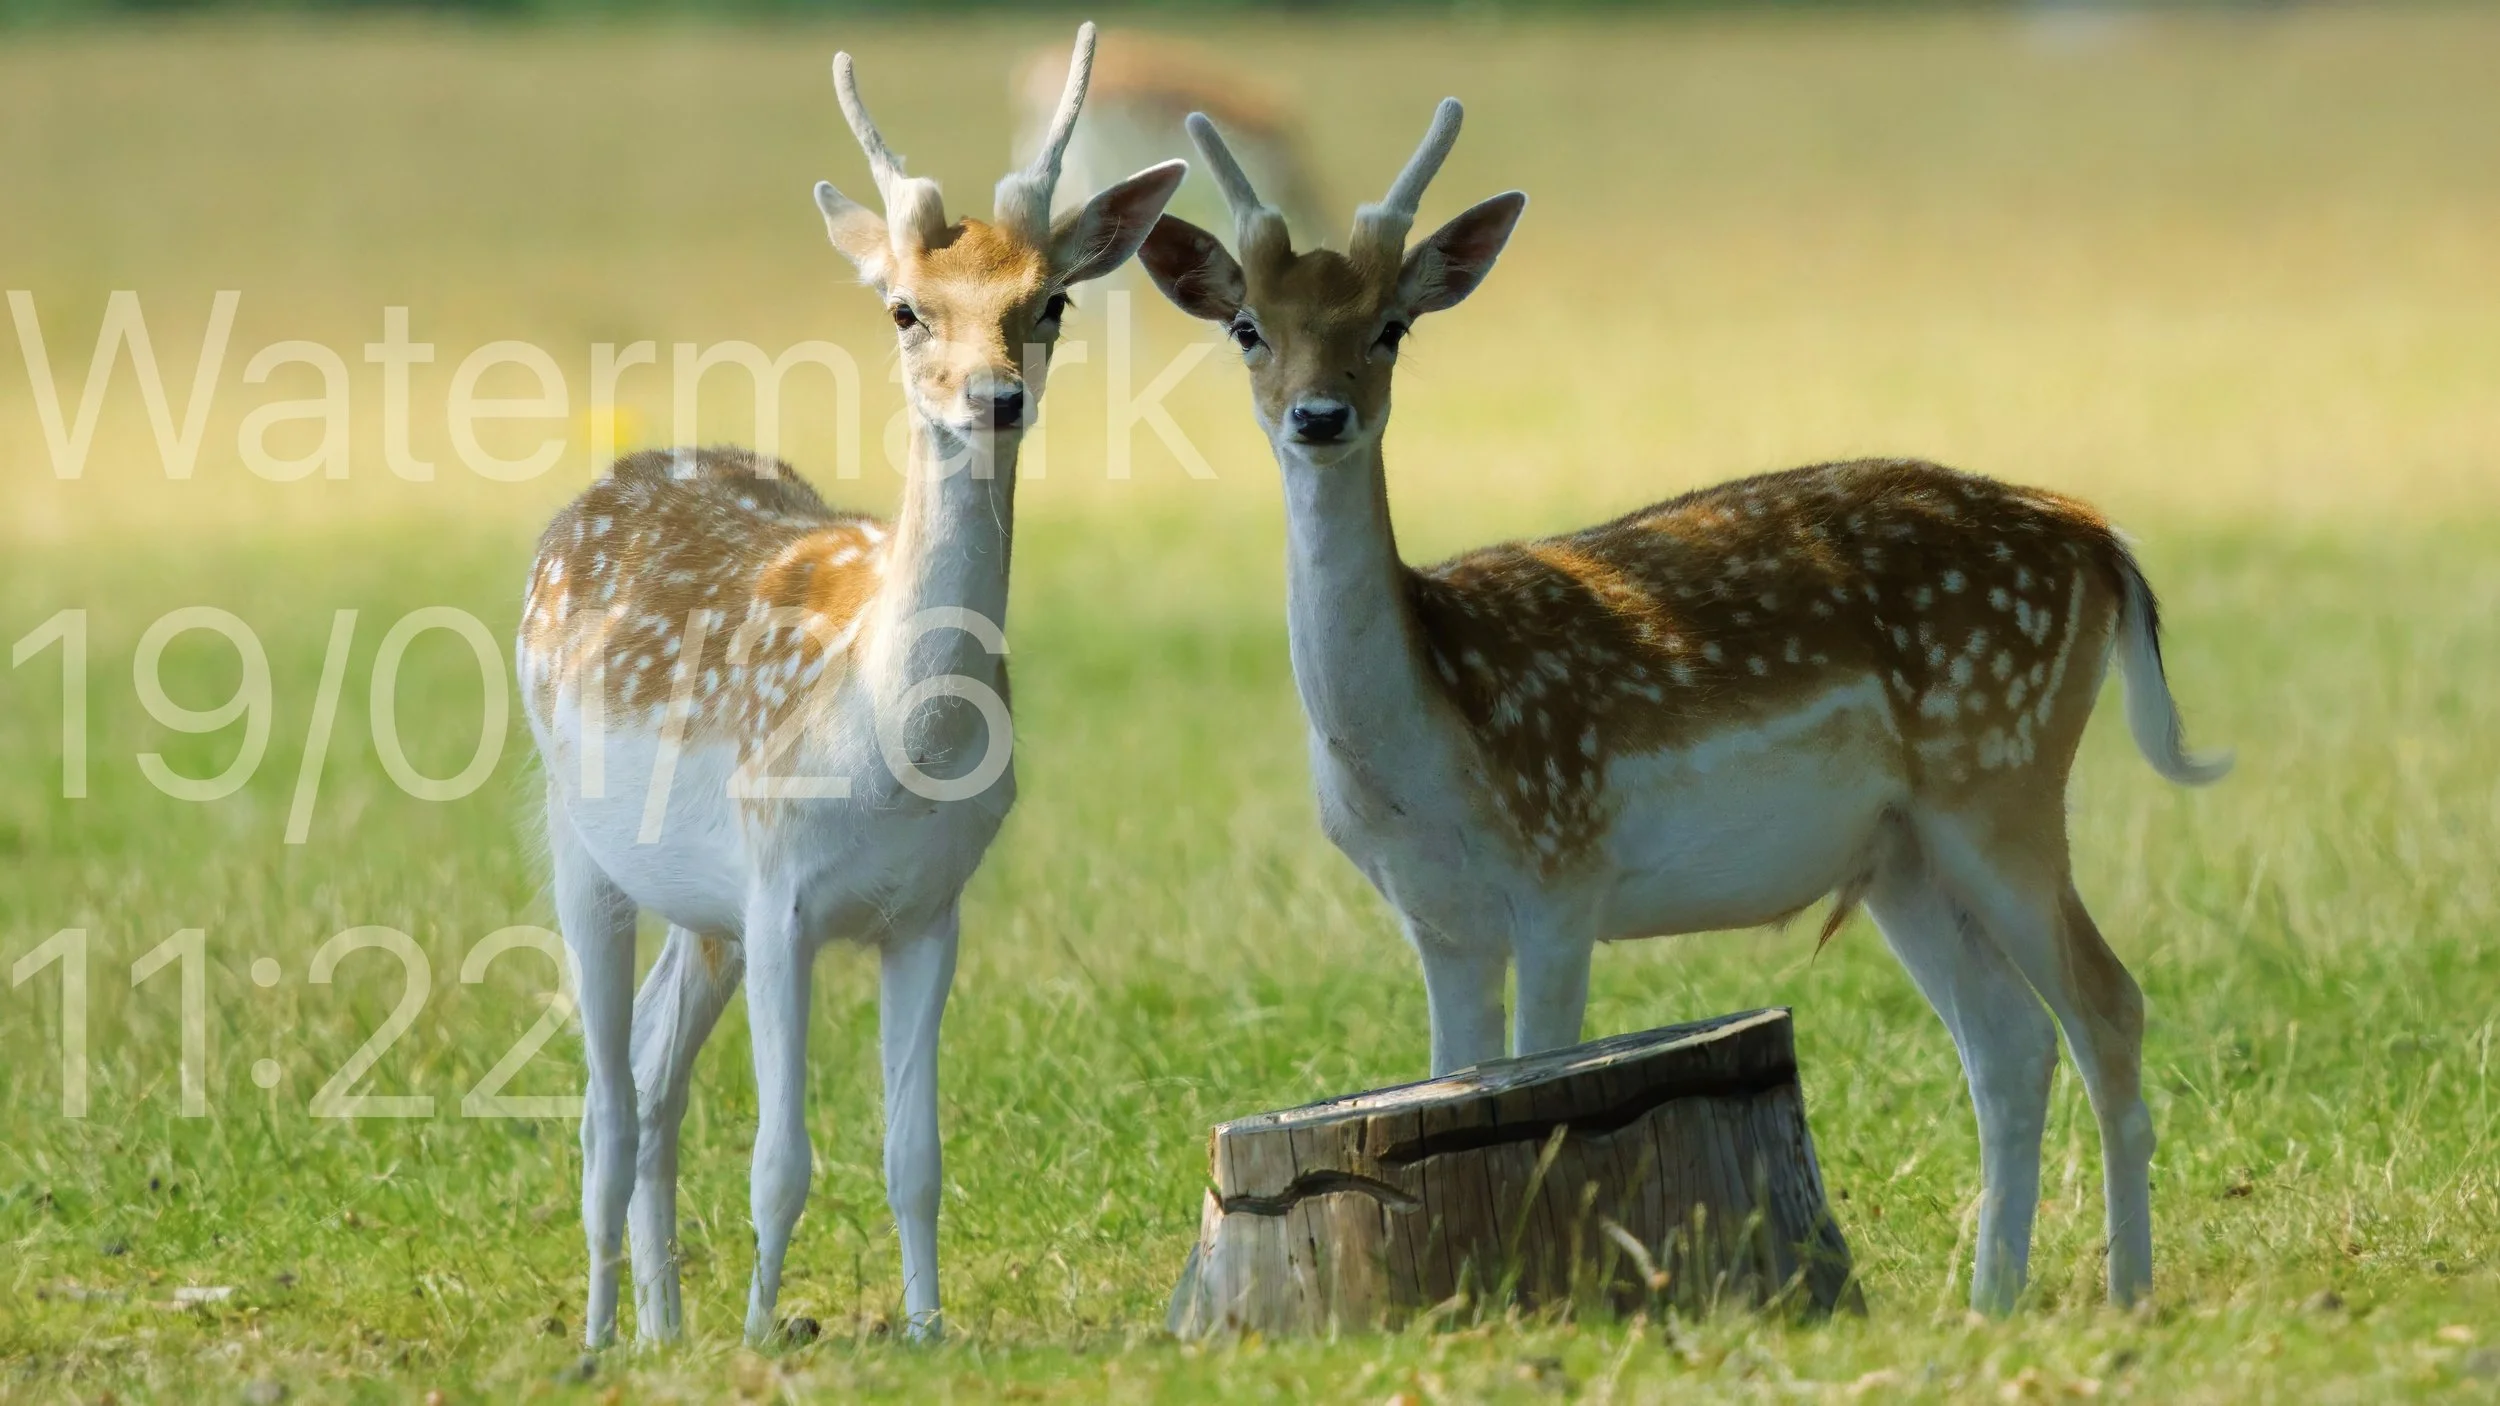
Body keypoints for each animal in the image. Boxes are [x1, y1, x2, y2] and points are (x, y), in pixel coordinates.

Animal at [516, 23, 1184, 1347]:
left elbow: (912, 1154)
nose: (995, 396)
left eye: (1051, 300)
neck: (894, 743)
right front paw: (762, 1331)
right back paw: (606, 1330)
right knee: (606, 1098)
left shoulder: (926, 907)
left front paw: (924, 1328)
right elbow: (781, 1158)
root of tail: (591, 494)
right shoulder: (782, 889)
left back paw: (665, 1325)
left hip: (702, 908)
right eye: (905, 307)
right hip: (580, 843)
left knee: (657, 1070)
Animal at [1135, 99, 2229, 1315]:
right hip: (1901, 850)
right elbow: (1449, 1078)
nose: (1319, 417)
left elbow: (1538, 1081)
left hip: (2000, 769)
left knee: (2107, 1003)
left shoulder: (1560, 870)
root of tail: (2101, 540)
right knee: (2010, 1041)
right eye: (1246, 327)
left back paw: (2124, 1293)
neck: (1426, 736)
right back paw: (1989, 1303)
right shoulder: (1436, 916)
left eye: (1391, 328)